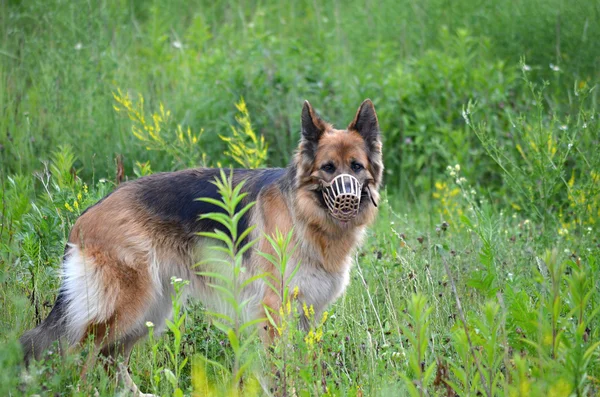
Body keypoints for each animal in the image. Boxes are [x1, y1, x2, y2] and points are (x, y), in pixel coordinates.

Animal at [21, 98, 384, 392]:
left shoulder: (309, 314)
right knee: (82, 354)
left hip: (152, 309)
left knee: (111, 359)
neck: (305, 217)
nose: (348, 199)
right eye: (327, 168)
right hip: (129, 306)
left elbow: (301, 363)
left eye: (356, 167)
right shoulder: (273, 312)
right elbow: (280, 369)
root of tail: (86, 214)